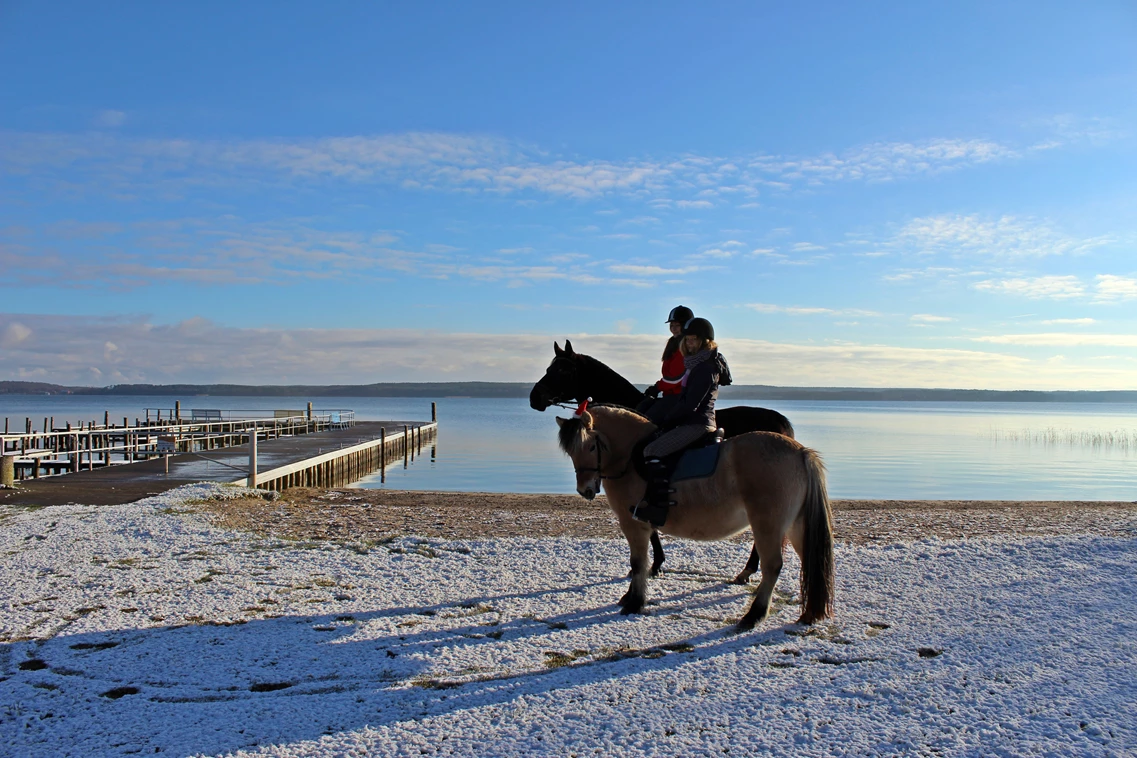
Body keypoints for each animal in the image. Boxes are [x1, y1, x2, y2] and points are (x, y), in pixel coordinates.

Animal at [527, 338, 795, 581]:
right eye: (550, 367)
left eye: (563, 369)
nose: (534, 397)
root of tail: (779, 422)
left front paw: (654, 565)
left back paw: (748, 570)